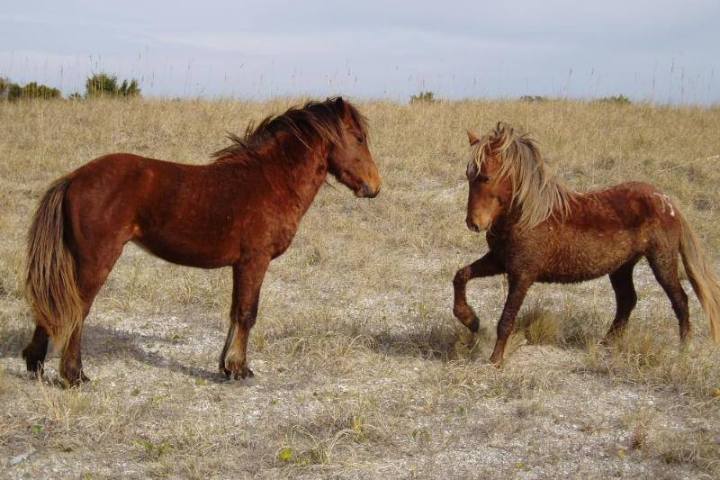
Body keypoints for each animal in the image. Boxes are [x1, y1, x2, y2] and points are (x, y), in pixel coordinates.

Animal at [22, 97, 381, 385]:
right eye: (359, 138)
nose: (375, 186)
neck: (270, 180)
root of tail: (73, 178)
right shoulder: (255, 260)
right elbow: (247, 313)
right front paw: (239, 369)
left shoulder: (241, 265)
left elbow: (235, 311)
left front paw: (227, 367)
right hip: (96, 261)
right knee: (76, 308)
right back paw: (73, 375)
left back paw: (35, 363)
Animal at [453, 122, 720, 365]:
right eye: (468, 175)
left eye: (486, 177)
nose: (473, 223)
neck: (528, 215)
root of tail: (667, 201)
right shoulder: (499, 261)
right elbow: (461, 276)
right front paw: (471, 320)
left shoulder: (522, 274)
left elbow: (506, 318)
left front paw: (496, 360)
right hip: (622, 266)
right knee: (627, 300)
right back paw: (607, 342)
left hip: (662, 260)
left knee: (679, 299)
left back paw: (684, 349)